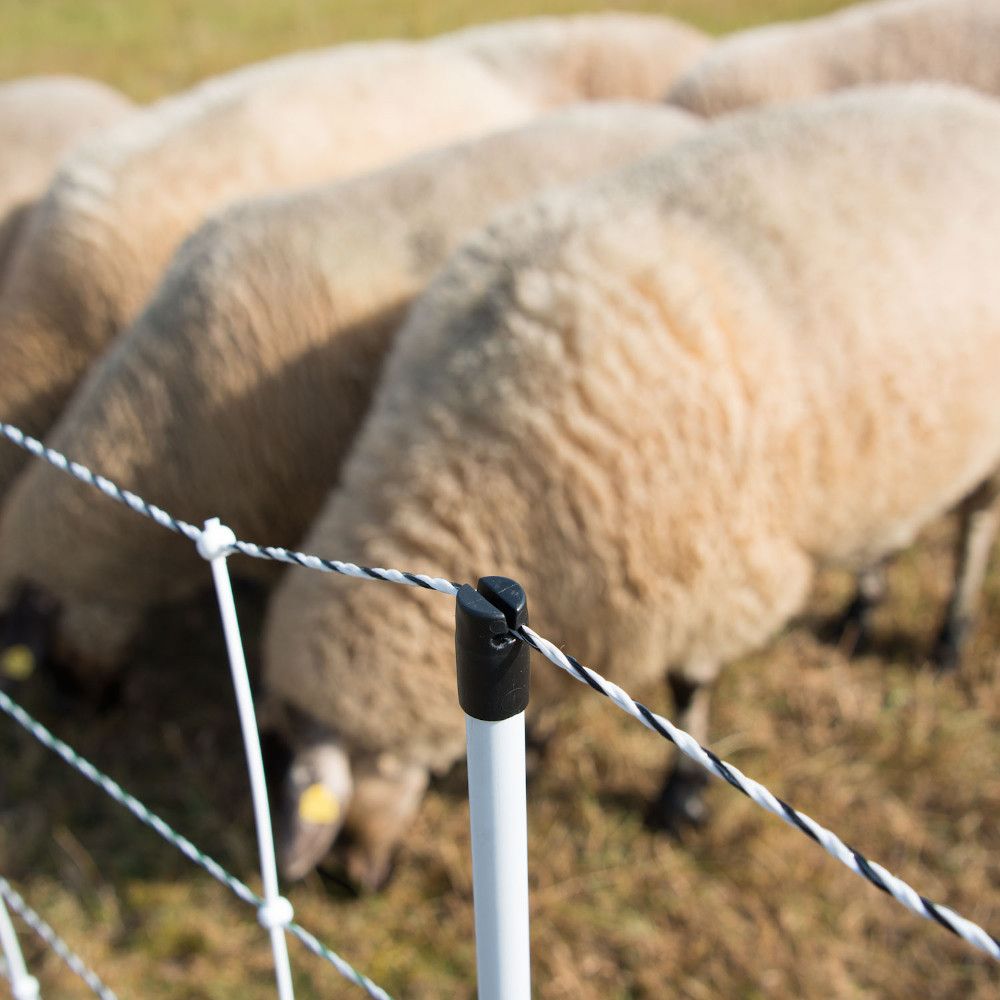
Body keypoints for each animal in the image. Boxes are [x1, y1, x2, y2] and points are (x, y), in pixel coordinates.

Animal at [259, 83, 1000, 888]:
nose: (352, 883)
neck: (476, 471)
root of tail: (970, 105)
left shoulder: (712, 576)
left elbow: (689, 692)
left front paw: (681, 801)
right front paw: (539, 743)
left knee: (974, 531)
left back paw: (949, 641)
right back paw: (860, 614)